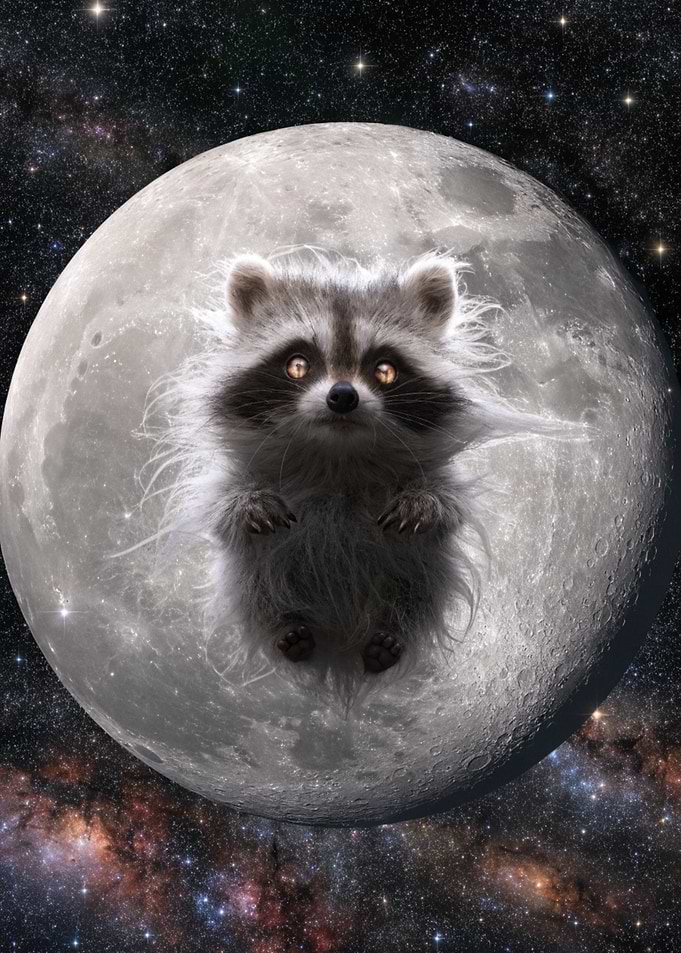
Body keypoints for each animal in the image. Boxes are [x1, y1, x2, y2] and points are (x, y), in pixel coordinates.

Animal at [126, 246, 584, 710]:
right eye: (298, 365)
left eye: (385, 370)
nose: (343, 396)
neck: (338, 456)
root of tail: (339, 649)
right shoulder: (234, 473)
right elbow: (221, 509)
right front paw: (248, 505)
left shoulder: (439, 474)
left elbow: (450, 504)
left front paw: (424, 503)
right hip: (249, 577)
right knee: (256, 585)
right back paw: (286, 629)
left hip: (423, 573)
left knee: (418, 589)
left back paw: (390, 635)